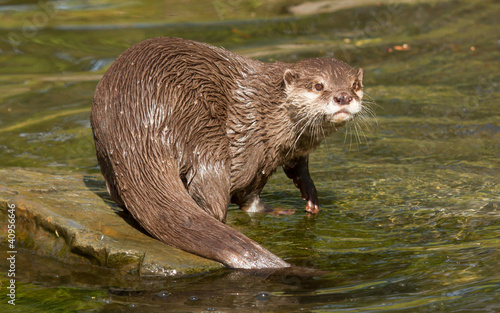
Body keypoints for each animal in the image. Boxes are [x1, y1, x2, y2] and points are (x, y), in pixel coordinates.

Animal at [91, 36, 364, 268]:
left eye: (354, 84)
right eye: (318, 85)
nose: (343, 96)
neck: (269, 110)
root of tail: (139, 129)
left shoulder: (288, 152)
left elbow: (296, 169)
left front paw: (309, 194)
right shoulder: (252, 144)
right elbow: (245, 191)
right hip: (204, 131)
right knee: (212, 193)